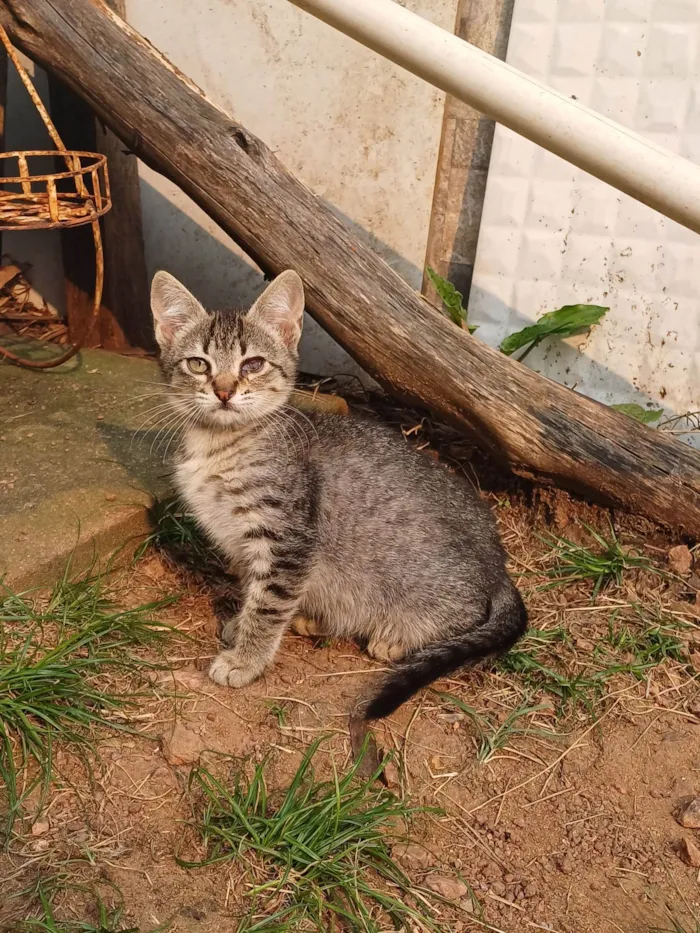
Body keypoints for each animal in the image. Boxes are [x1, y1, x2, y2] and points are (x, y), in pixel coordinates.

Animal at [150, 266, 528, 716]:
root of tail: (499, 566)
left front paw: (246, 658)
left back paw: (395, 638)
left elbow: (268, 603)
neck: (220, 446)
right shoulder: (244, 543)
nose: (224, 391)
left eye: (253, 364)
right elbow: (253, 590)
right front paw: (242, 627)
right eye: (198, 364)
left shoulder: (287, 540)